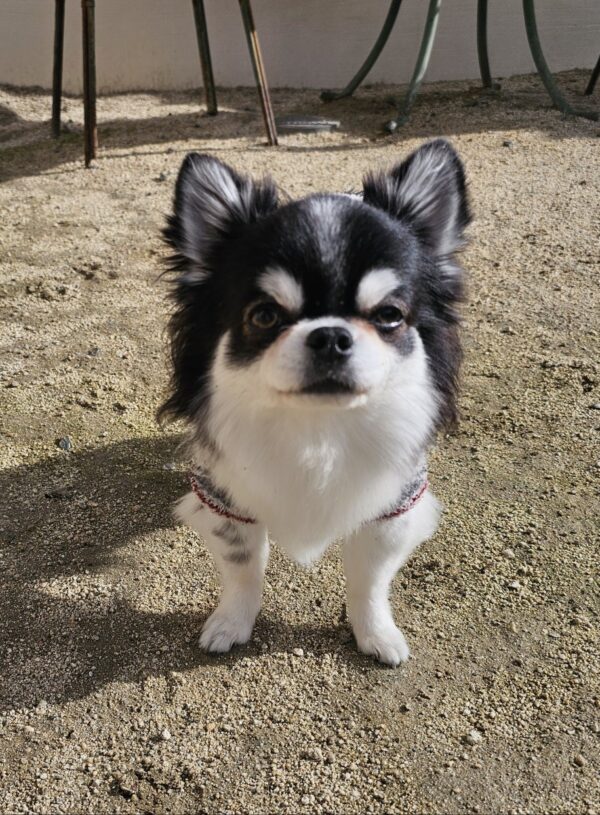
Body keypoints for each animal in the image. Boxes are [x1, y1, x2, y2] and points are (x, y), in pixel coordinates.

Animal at [159, 139, 470, 666]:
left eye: (389, 315)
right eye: (264, 316)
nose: (329, 336)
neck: (318, 429)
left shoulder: (393, 505)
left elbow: (369, 579)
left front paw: (376, 634)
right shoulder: (225, 499)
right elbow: (243, 567)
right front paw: (232, 623)